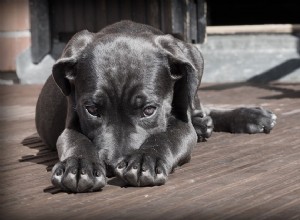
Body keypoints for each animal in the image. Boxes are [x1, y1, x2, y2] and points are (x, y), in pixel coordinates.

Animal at [35, 20, 276, 192]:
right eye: (92, 110)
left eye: (149, 110)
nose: (113, 165)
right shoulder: (71, 122)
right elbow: (76, 140)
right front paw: (78, 166)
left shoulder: (181, 124)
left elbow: (166, 136)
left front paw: (145, 160)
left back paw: (250, 116)